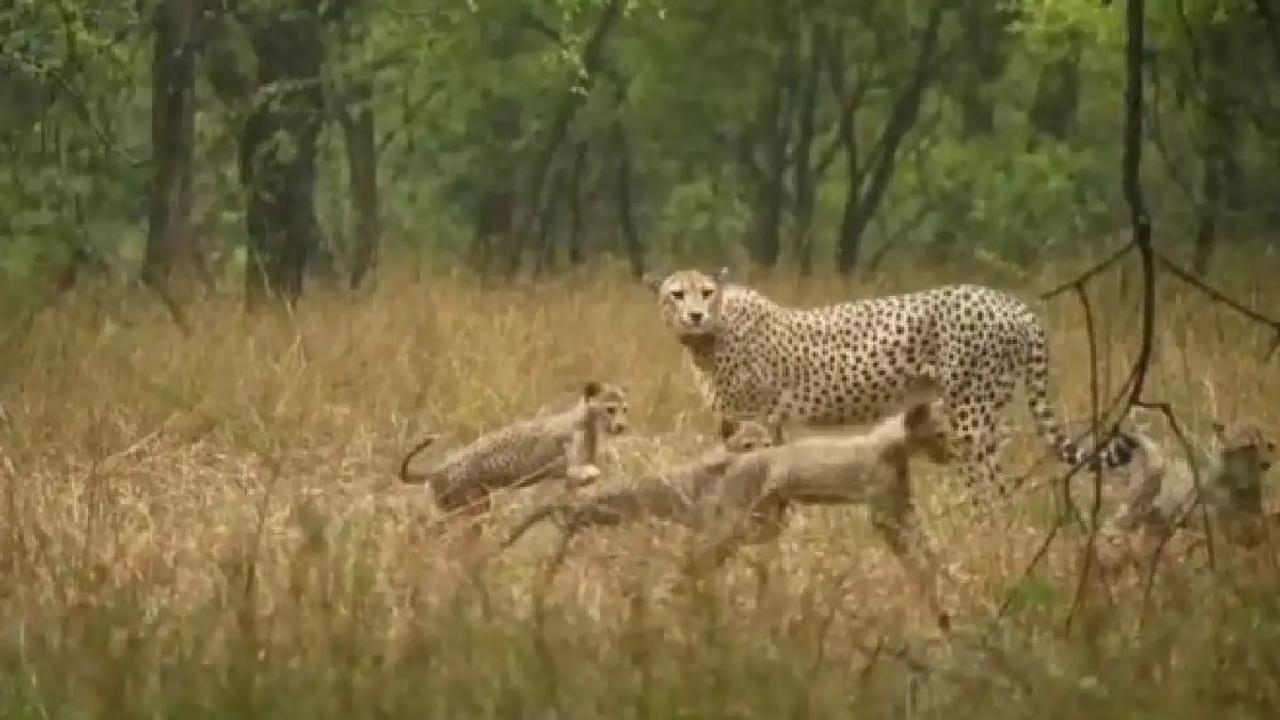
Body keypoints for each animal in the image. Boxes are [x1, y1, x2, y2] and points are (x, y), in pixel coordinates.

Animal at [645, 266, 1136, 497]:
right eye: (677, 294)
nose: (695, 314)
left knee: (991, 488)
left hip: (971, 418)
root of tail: (1009, 301)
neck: (709, 338)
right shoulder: (739, 424)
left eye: (706, 293)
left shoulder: (763, 422)